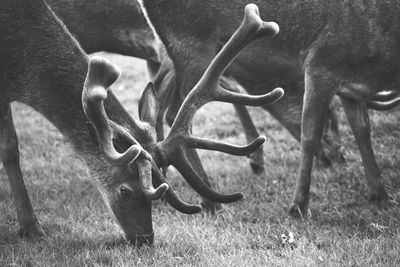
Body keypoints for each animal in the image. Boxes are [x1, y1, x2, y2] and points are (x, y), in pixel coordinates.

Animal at [139, 0, 400, 219]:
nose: (337, 157)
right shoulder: (322, 62)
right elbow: (310, 133)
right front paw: (298, 206)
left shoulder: (351, 87)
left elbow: (362, 129)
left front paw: (380, 195)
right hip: (191, 45)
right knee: (179, 111)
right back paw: (212, 201)